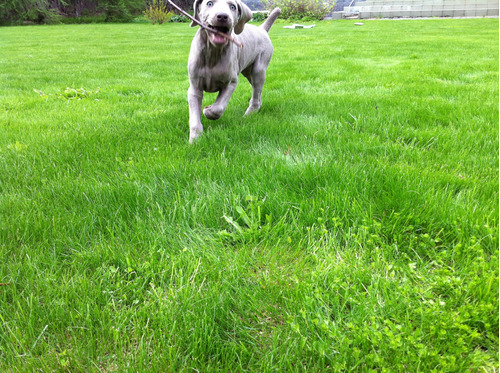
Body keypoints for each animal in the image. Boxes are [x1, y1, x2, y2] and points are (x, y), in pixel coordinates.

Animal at [188, 0, 282, 142]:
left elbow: (218, 107)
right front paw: (195, 138)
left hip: (259, 69)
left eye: (232, 6)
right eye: (209, 3)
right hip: (248, 71)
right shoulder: (194, 87)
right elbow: (194, 116)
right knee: (257, 91)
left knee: (256, 92)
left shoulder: (231, 82)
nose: (222, 16)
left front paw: (208, 111)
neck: (213, 52)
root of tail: (262, 28)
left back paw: (250, 113)